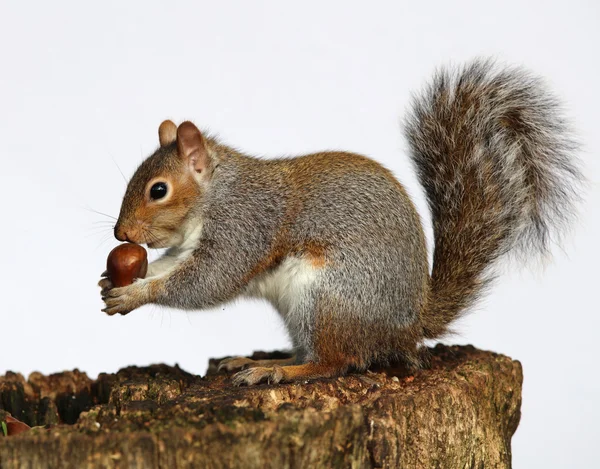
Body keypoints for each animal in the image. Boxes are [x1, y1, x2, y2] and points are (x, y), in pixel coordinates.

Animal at [98, 59, 580, 384]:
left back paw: (280, 372)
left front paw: (136, 294)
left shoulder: (245, 225)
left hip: (329, 297)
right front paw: (114, 282)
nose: (121, 234)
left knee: (333, 362)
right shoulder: (188, 244)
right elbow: (171, 264)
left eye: (158, 190)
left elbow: (207, 280)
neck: (216, 193)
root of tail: (409, 324)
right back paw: (263, 361)